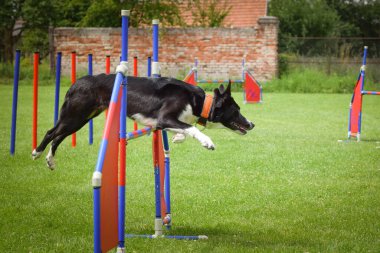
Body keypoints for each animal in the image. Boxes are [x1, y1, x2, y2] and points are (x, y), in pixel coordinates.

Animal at [31, 73, 252, 169]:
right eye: (236, 110)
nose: (252, 124)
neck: (199, 102)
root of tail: (76, 82)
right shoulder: (165, 118)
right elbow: (192, 128)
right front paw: (207, 142)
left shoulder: (163, 122)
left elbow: (184, 129)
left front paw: (178, 138)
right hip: (75, 115)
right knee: (52, 133)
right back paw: (37, 152)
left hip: (83, 118)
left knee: (58, 137)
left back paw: (50, 160)